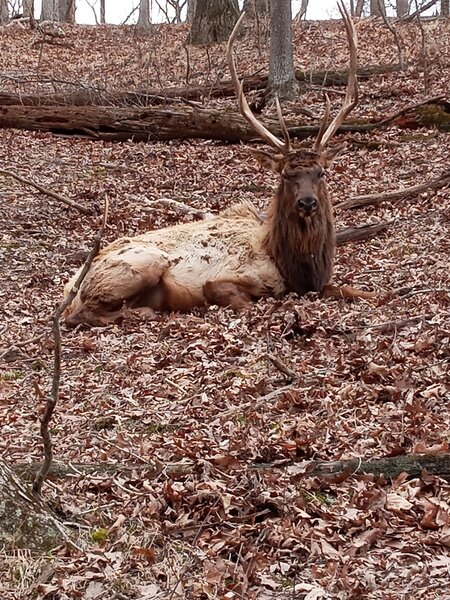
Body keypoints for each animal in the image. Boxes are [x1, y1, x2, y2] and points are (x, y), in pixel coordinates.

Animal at [63, 2, 372, 328]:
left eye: (321, 173)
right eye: (286, 175)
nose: (308, 202)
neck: (293, 267)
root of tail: (70, 289)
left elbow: (356, 290)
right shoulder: (223, 279)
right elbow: (238, 298)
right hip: (144, 263)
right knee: (81, 315)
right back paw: (143, 312)